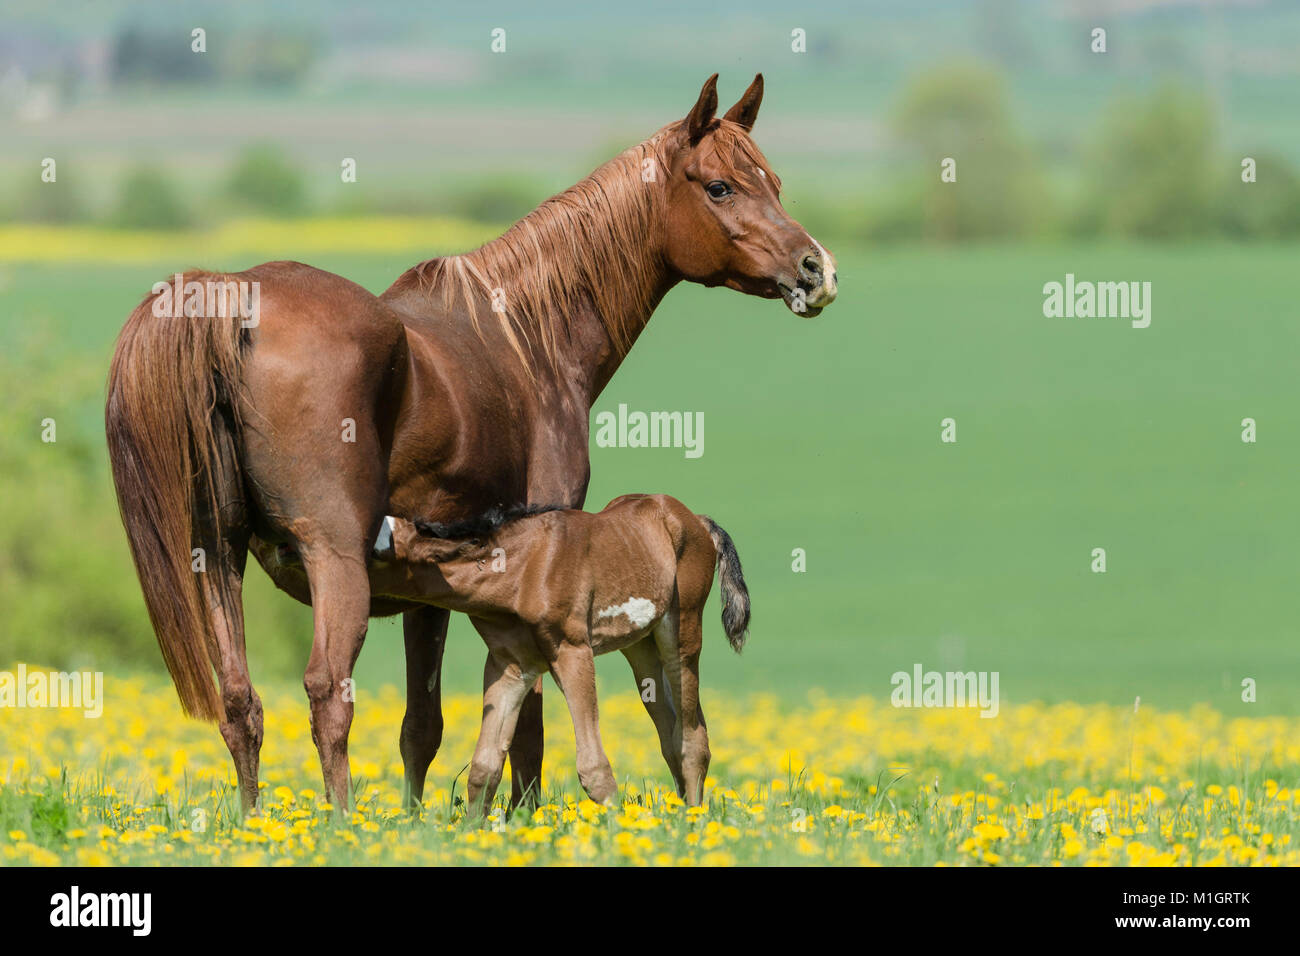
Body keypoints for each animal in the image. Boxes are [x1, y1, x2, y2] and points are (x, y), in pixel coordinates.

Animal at [322, 493, 748, 813]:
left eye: (375, 551)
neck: (525, 568)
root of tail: (694, 519)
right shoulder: (511, 666)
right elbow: (484, 767)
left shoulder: (572, 650)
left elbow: (593, 768)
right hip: (640, 648)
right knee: (672, 732)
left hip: (682, 634)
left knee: (692, 740)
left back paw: (692, 822)